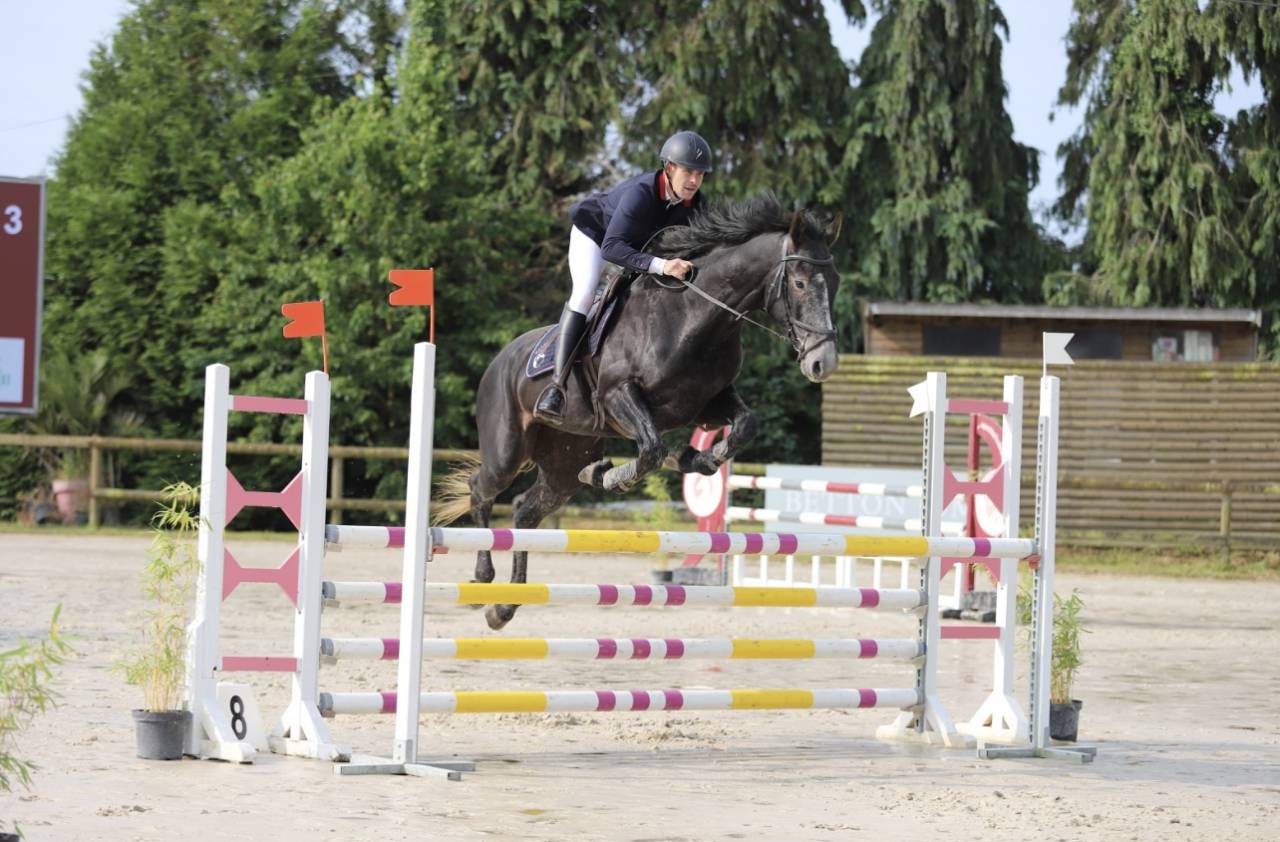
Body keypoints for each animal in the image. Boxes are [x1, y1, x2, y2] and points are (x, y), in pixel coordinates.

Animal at [434, 192, 842, 629]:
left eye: (834, 283)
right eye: (799, 283)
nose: (823, 363)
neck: (693, 317)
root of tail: (499, 360)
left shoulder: (706, 403)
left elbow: (745, 425)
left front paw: (694, 459)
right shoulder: (619, 396)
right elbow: (650, 450)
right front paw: (619, 476)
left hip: (564, 459)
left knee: (526, 510)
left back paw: (504, 606)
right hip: (508, 448)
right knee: (482, 489)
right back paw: (482, 580)